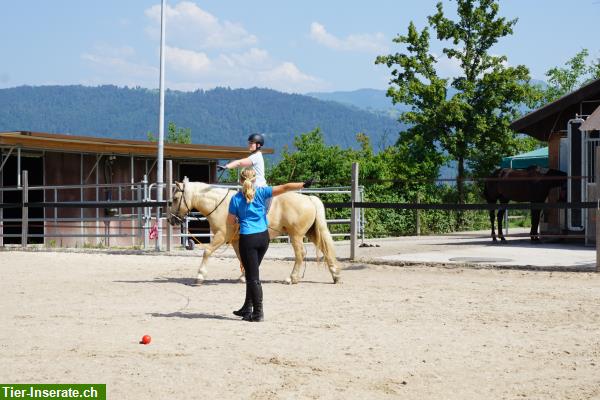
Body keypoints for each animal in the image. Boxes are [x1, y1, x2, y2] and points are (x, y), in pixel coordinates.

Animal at [166, 180, 340, 286]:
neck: (220, 204)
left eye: (175, 198)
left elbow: (207, 251)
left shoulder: (222, 236)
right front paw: (244, 277)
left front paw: (200, 276)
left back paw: (292, 278)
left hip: (296, 235)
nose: (170, 219)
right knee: (326, 250)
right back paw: (335, 276)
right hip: (311, 233)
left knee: (300, 254)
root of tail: (308, 199)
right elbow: (241, 257)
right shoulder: (236, 240)